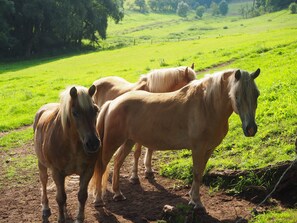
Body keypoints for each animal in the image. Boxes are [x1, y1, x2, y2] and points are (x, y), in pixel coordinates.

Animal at [33, 85, 100, 223]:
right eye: (75, 113)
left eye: (95, 110)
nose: (93, 143)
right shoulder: (57, 172)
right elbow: (60, 197)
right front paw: (61, 218)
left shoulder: (88, 170)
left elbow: (82, 196)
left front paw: (79, 218)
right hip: (42, 164)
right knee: (44, 182)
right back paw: (45, 208)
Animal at [90, 68, 260, 211]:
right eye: (236, 95)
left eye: (256, 94)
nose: (251, 128)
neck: (206, 105)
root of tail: (112, 103)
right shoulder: (198, 149)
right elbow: (196, 173)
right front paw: (196, 202)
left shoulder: (208, 149)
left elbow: (201, 172)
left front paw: (193, 198)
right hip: (112, 142)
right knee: (102, 166)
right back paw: (98, 199)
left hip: (128, 141)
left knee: (117, 161)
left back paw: (118, 193)